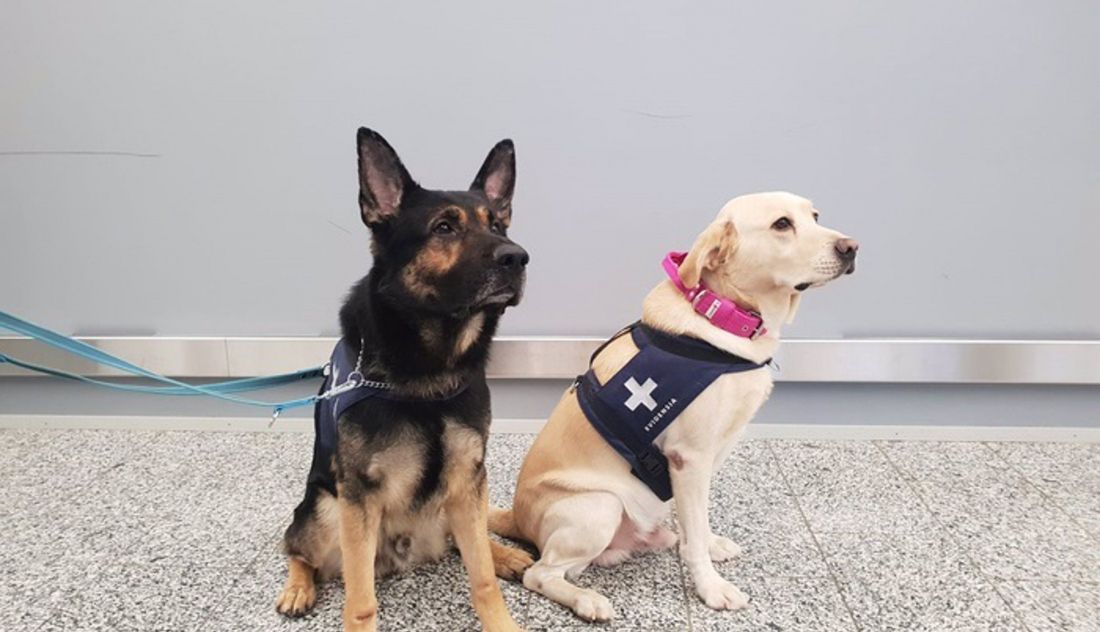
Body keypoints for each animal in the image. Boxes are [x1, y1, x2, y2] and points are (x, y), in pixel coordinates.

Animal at [275, 129, 532, 632]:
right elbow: (360, 599)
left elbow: (482, 579)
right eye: (444, 228)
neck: (429, 373)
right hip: (324, 510)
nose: (518, 257)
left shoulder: (468, 478)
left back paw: (505, 555)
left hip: (455, 501)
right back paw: (297, 587)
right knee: (297, 548)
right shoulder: (358, 499)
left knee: (467, 542)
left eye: (499, 226)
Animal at [490, 190, 858, 619]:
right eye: (782, 224)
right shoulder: (689, 458)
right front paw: (711, 587)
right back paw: (587, 599)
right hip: (599, 506)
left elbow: (697, 520)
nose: (852, 247)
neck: (722, 315)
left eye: (815, 216)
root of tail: (517, 517)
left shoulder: (710, 454)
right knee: (540, 574)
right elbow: (694, 533)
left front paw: (710, 543)